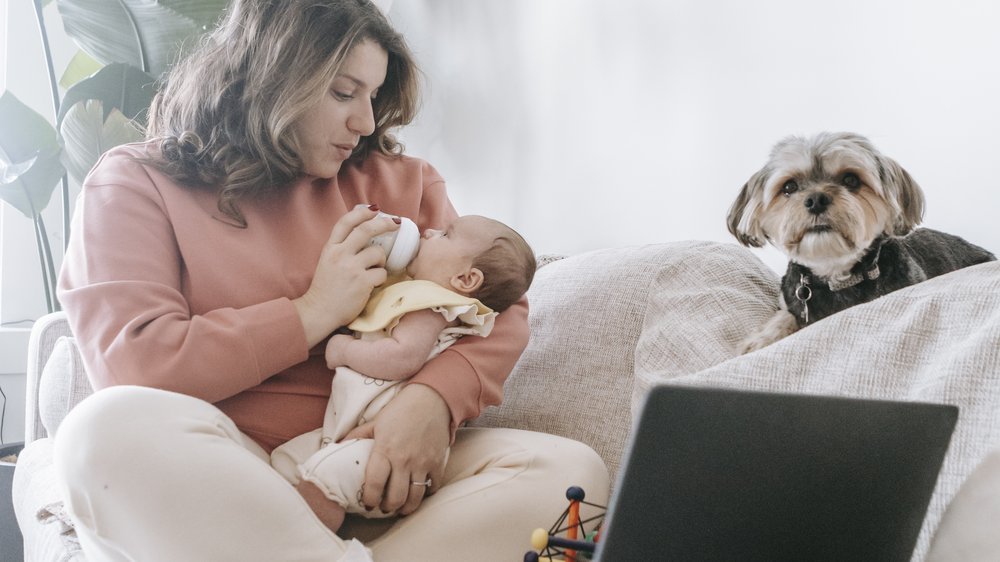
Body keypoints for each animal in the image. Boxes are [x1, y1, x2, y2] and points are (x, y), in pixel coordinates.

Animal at [728, 131, 992, 352]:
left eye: (851, 180)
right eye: (789, 186)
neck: (837, 274)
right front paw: (761, 339)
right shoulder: (791, 299)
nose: (816, 200)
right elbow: (785, 315)